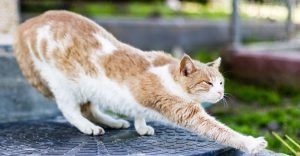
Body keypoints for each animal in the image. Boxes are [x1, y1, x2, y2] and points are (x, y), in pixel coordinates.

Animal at [14, 10, 268, 154]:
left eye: (221, 83)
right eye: (207, 83)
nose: (220, 94)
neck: (171, 76)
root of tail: (29, 23)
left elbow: (138, 111)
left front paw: (141, 125)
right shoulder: (184, 110)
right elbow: (220, 130)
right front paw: (251, 143)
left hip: (90, 90)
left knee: (90, 108)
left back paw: (113, 121)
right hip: (64, 84)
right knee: (70, 110)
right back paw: (88, 126)